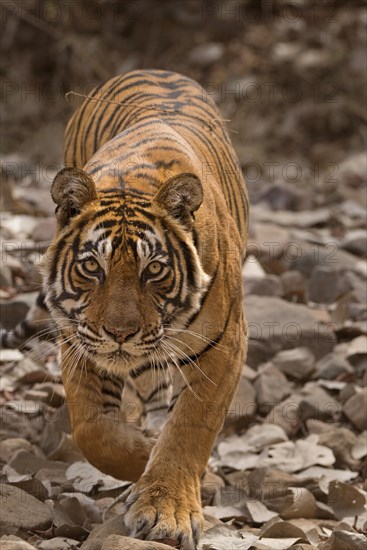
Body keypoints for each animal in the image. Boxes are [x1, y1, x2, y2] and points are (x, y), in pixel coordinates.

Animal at [10, 71, 250, 548]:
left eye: (153, 269)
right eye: (92, 267)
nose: (120, 334)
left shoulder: (225, 345)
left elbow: (189, 428)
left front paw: (167, 509)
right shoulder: (79, 340)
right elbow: (94, 431)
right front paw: (144, 456)